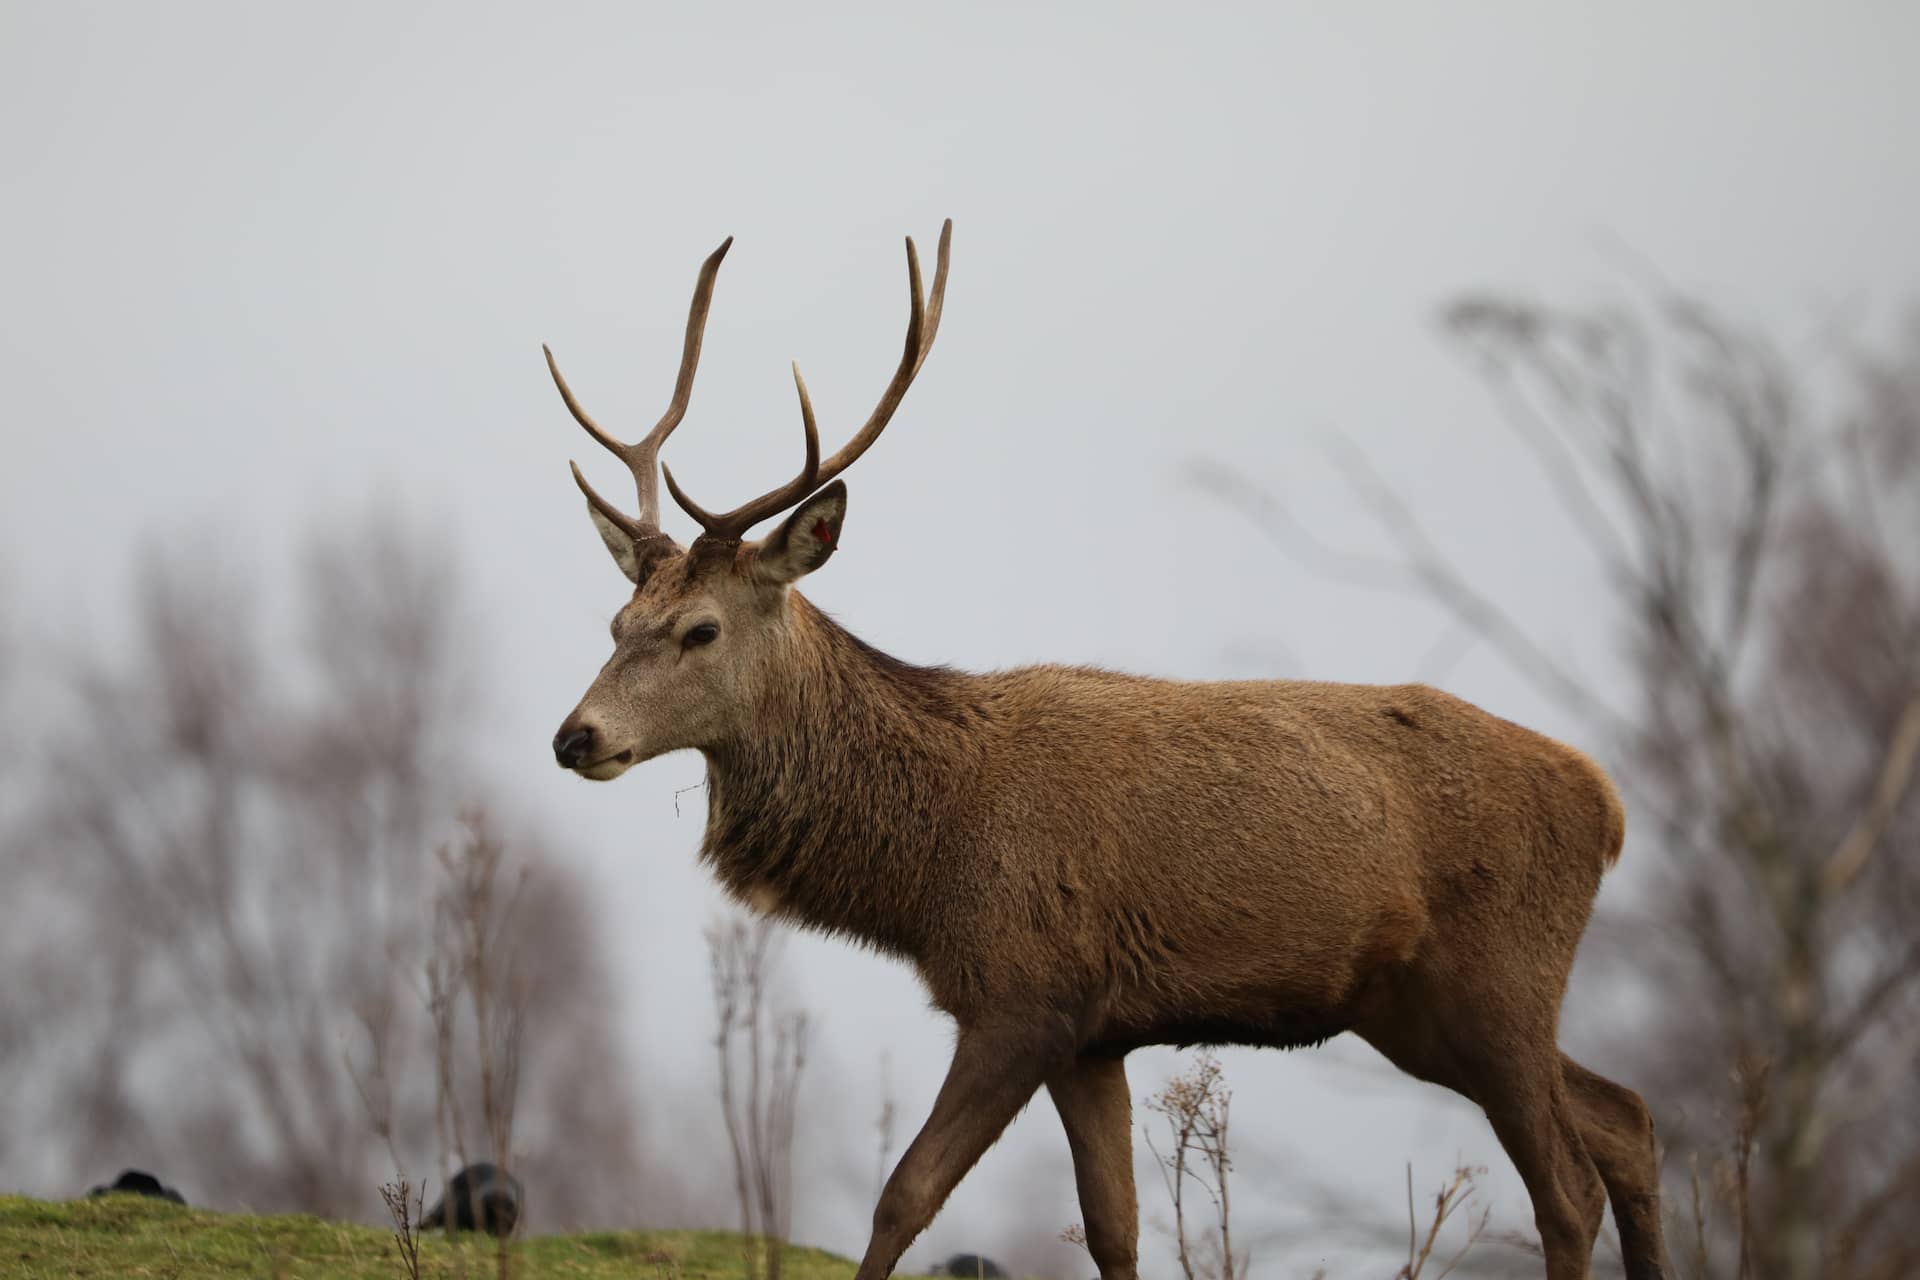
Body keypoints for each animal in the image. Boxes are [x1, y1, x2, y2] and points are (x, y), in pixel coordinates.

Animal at [542, 222, 1669, 1280]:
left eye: (700, 630)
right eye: (616, 619)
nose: (573, 735)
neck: (929, 866)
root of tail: (1608, 805)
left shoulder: (1027, 993)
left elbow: (903, 1196)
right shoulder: (1095, 1033)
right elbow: (1114, 1229)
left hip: (1500, 976)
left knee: (1568, 1183)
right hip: (1417, 1007)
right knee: (1628, 1117)